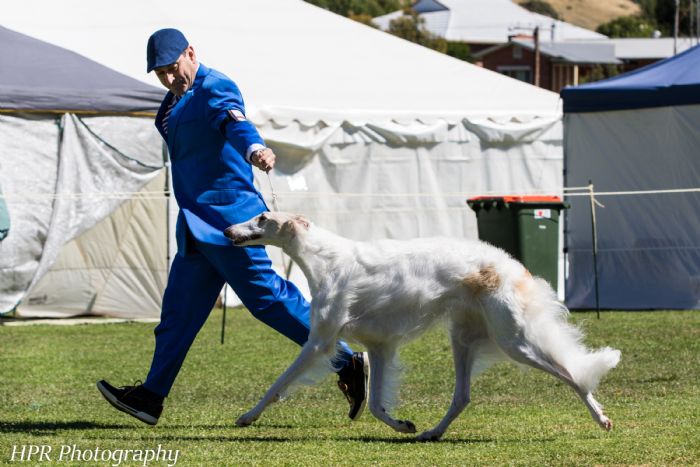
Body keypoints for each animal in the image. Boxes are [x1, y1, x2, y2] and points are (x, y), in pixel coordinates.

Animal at [224, 211, 620, 441]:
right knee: (462, 396)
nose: (226, 229)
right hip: (464, 338)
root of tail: (512, 264)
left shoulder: (320, 340)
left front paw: (247, 416)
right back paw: (431, 432)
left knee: (572, 374)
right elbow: (375, 405)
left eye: (261, 217)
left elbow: (279, 383)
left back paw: (601, 418)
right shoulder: (379, 345)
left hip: (515, 340)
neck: (327, 260)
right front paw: (403, 425)